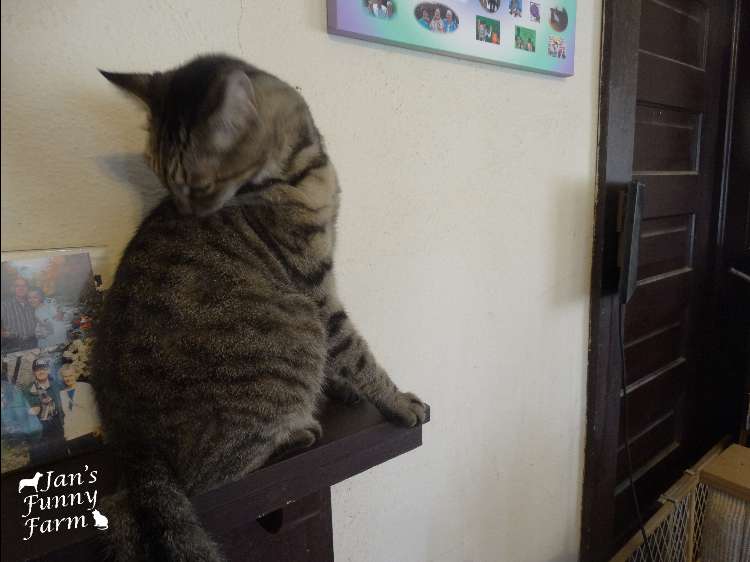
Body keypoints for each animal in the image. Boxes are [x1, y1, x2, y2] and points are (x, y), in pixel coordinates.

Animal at [93, 54, 426, 561]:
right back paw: (297, 432)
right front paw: (396, 400)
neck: (306, 170)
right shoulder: (315, 290)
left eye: (197, 183)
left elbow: (343, 362)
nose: (184, 211)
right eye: (163, 178)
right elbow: (356, 352)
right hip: (296, 328)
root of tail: (131, 442)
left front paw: (346, 389)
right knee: (210, 477)